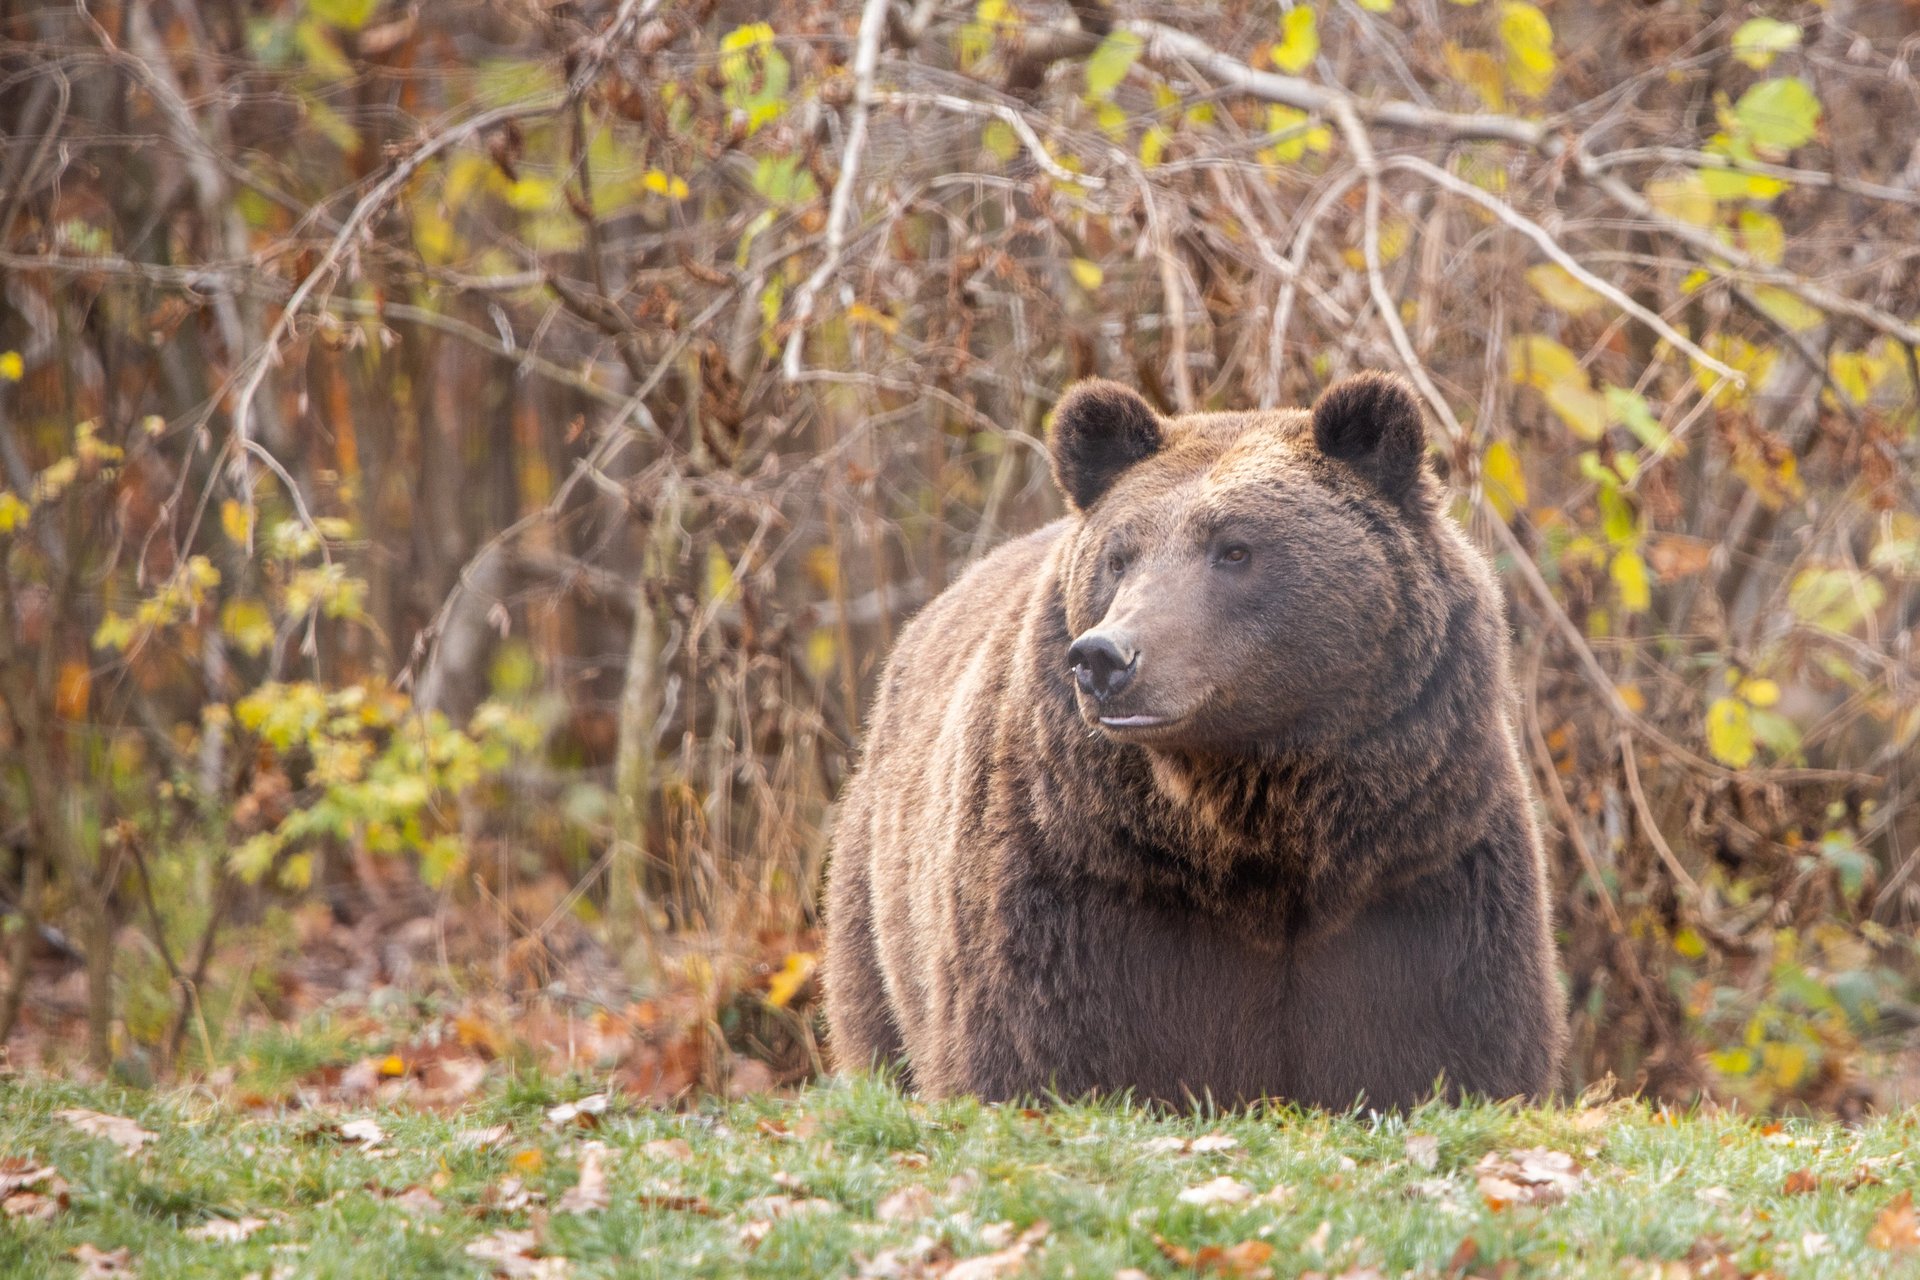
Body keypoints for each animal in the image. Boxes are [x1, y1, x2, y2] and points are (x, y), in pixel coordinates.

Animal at [822, 372, 1566, 1109]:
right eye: (1120, 557)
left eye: (1234, 548)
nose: (1104, 658)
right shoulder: (1076, 875)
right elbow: (1032, 1045)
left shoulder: (1424, 869)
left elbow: (1454, 1045)